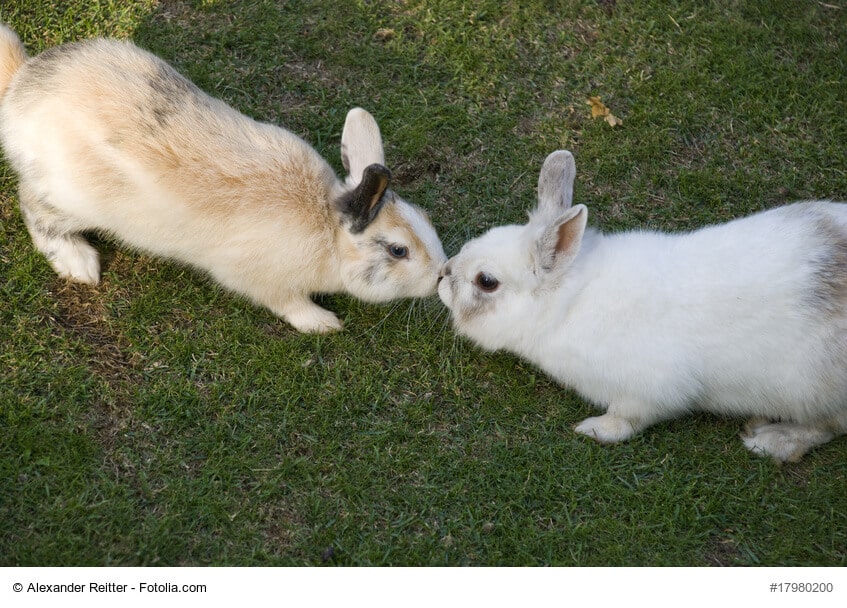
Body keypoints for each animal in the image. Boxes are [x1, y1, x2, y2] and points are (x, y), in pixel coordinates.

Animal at [0, 24, 446, 333]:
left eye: (426, 219)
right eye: (399, 250)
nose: (442, 274)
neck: (329, 230)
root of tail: (19, 90)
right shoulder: (262, 281)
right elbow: (288, 304)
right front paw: (323, 323)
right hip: (70, 199)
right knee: (34, 209)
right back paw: (79, 264)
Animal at [439, 149, 847, 462]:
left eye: (486, 282)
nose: (443, 275)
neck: (570, 301)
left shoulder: (649, 392)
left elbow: (627, 420)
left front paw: (594, 430)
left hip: (811, 389)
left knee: (829, 426)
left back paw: (772, 440)